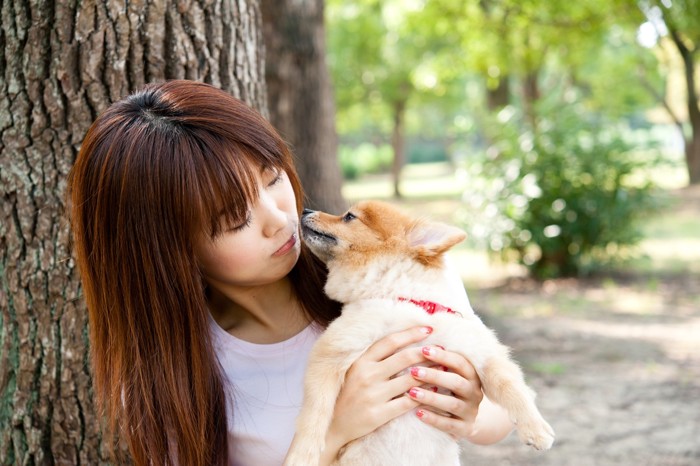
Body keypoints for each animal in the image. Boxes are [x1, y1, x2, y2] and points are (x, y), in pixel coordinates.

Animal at [288, 200, 556, 466]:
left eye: (349, 217)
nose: (306, 210)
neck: (401, 295)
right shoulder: (334, 350)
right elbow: (316, 410)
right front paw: (302, 453)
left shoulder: (478, 349)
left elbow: (512, 388)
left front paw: (537, 429)